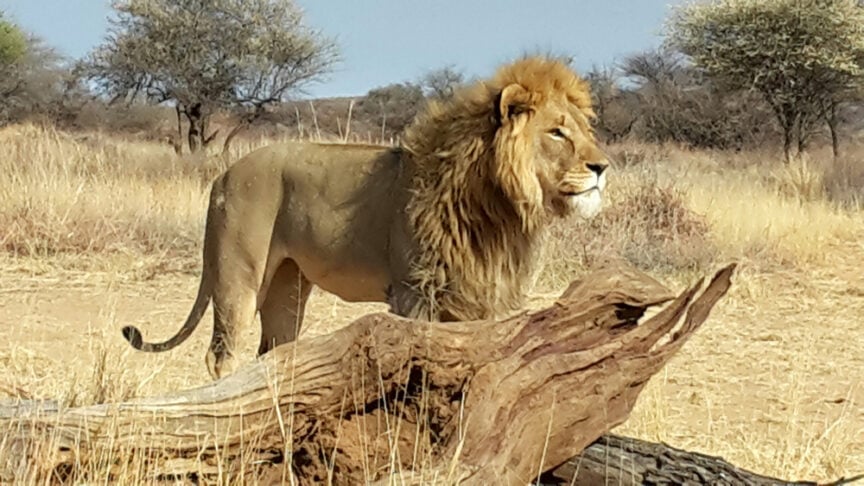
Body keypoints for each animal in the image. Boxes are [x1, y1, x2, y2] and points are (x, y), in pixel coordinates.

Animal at [121, 56, 611, 379]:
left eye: (584, 130)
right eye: (556, 132)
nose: (602, 167)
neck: (498, 206)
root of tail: (224, 174)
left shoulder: (479, 296)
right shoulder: (416, 292)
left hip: (287, 286)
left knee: (274, 353)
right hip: (237, 278)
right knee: (221, 355)